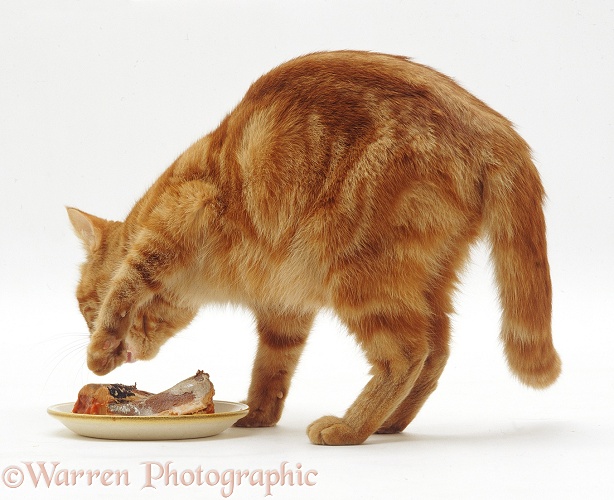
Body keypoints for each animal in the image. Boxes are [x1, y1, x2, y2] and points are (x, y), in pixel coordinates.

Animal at [67, 50, 564, 446]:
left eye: (88, 311)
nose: (113, 352)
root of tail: (494, 127)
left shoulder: (180, 218)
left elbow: (126, 284)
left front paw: (98, 354)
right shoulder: (284, 305)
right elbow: (272, 366)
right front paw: (257, 413)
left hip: (358, 274)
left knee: (406, 354)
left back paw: (350, 428)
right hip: (426, 279)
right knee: (436, 350)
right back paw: (389, 423)